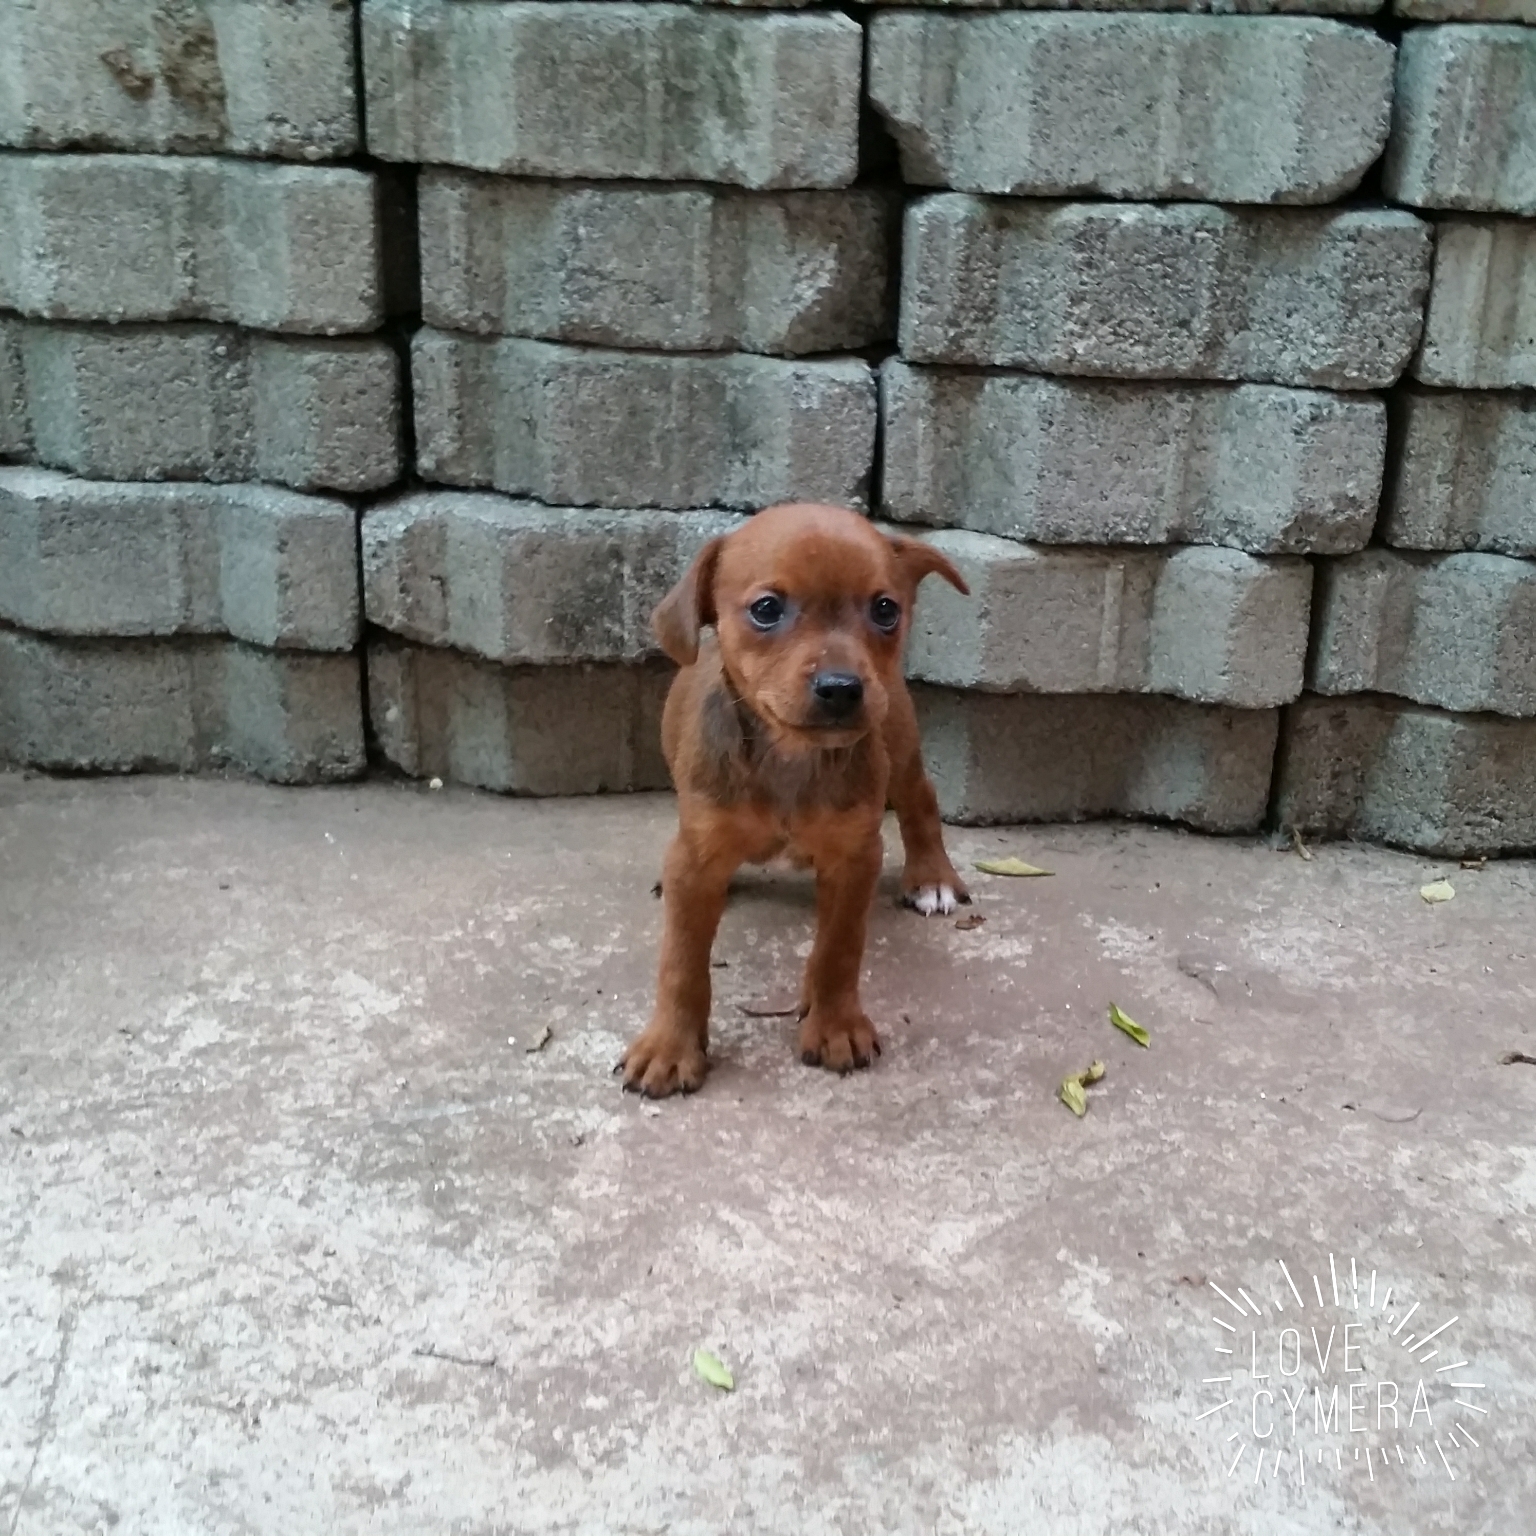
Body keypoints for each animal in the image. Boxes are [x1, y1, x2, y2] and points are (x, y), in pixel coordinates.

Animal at [618, 501, 971, 1098]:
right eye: (766, 609)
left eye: (885, 609)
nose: (842, 688)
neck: (790, 757)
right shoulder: (698, 857)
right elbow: (682, 962)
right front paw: (669, 1046)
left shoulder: (854, 857)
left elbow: (837, 949)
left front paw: (834, 1026)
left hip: (898, 740)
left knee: (920, 800)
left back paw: (932, 879)